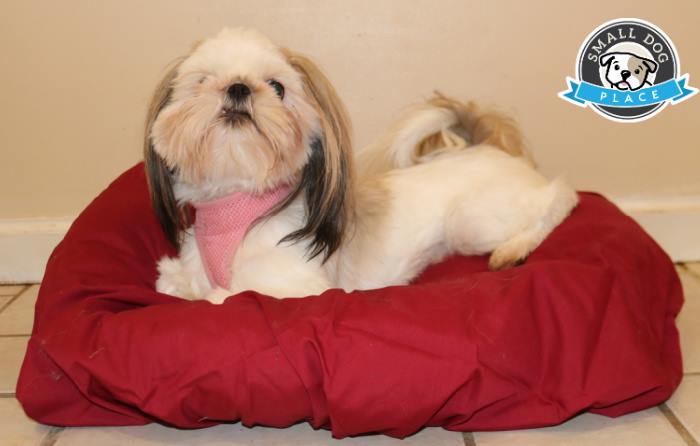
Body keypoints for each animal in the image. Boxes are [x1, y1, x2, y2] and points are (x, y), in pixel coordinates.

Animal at [145, 27, 576, 304]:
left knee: (561, 198)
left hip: (471, 219)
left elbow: (225, 297)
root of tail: (488, 148)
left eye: (278, 87)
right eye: (202, 82)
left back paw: (515, 248)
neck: (238, 204)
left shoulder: (299, 288)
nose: (238, 87)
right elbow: (175, 284)